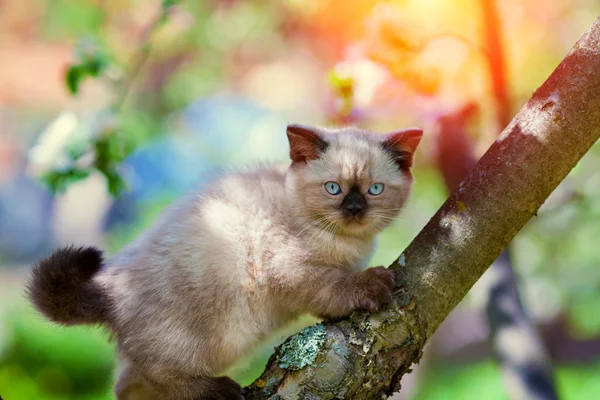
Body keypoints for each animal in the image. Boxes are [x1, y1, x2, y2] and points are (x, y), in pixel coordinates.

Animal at [27, 123, 422, 398]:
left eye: (374, 190)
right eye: (333, 188)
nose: (354, 210)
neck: (346, 242)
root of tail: (110, 287)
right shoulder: (292, 271)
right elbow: (335, 286)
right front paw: (374, 284)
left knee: (126, 385)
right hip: (215, 335)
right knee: (159, 373)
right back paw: (218, 392)